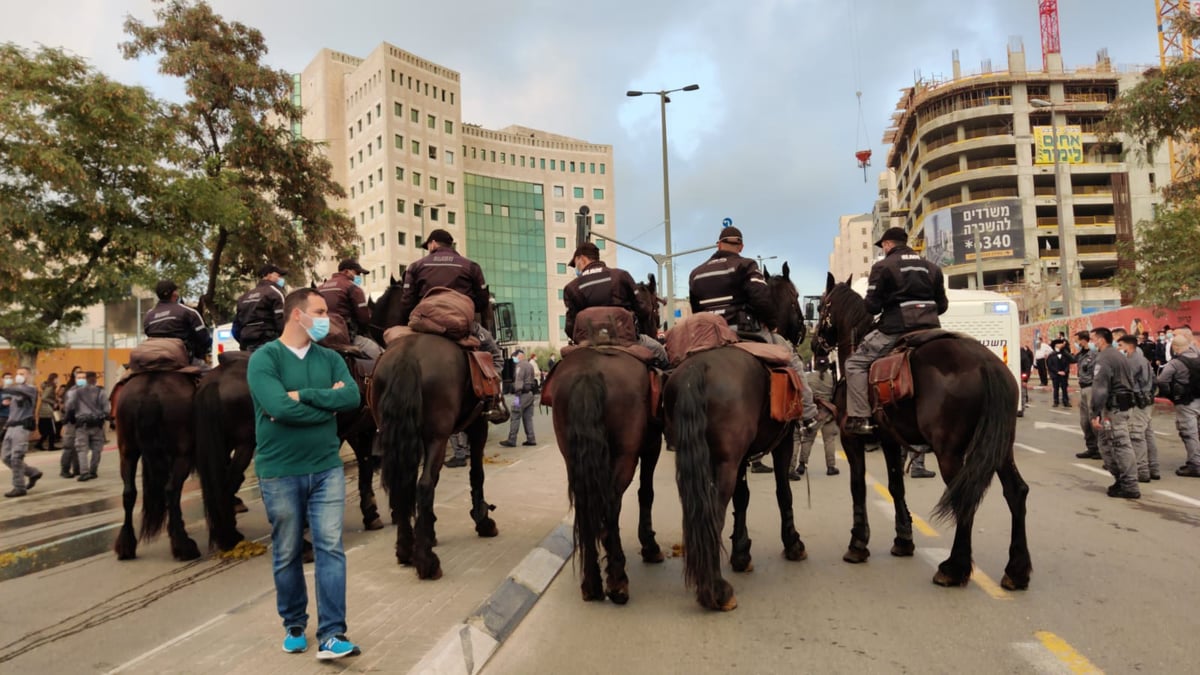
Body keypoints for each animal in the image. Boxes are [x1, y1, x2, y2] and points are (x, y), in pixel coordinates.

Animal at [549, 275, 667, 605]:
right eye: (653, 308)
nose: (657, 327)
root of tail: (589, 372)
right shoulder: (651, 446)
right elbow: (646, 493)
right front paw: (649, 545)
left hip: (571, 456)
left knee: (587, 503)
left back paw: (591, 582)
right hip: (625, 455)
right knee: (612, 502)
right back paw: (617, 580)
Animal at [667, 263, 806, 610]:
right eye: (795, 297)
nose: (802, 330)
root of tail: (697, 369)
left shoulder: (743, 456)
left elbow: (743, 498)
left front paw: (742, 552)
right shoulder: (783, 444)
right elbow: (783, 492)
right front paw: (793, 542)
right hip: (725, 463)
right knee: (713, 513)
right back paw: (716, 590)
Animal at [816, 270, 1032, 586]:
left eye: (821, 307)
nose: (816, 345)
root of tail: (985, 362)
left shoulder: (851, 437)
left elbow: (858, 487)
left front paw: (858, 544)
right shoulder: (891, 440)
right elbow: (896, 486)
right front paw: (903, 539)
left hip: (949, 452)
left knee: (963, 498)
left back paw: (953, 568)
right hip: (1000, 448)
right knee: (1015, 492)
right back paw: (1016, 570)